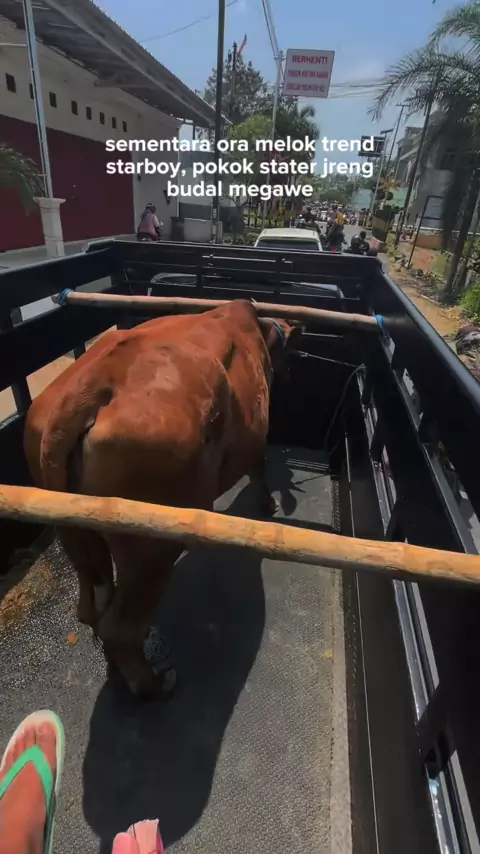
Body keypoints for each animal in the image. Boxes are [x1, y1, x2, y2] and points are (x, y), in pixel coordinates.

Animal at [24, 300, 304, 699]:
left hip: (73, 532)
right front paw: (268, 505)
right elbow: (259, 469)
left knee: (92, 606)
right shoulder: (256, 435)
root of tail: (87, 388)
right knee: (120, 627)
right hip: (150, 548)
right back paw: (154, 684)